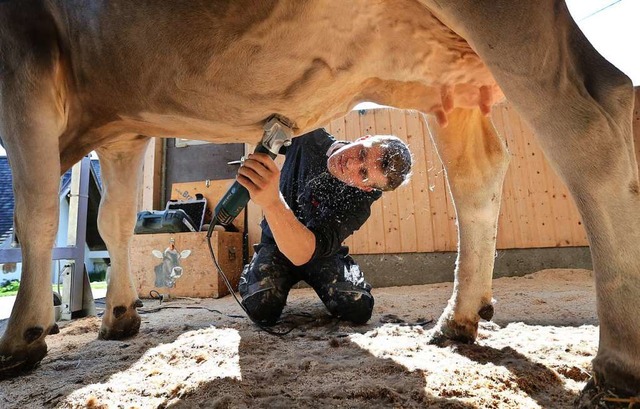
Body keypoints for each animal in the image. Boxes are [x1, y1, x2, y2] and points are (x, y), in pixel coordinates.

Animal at [0, 0, 636, 404]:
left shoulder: (24, 51)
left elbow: (34, 213)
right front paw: (118, 317)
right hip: (445, 80)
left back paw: (616, 365)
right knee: (478, 172)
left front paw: (22, 337)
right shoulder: (125, 128)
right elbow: (114, 221)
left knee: (594, 119)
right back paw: (458, 319)